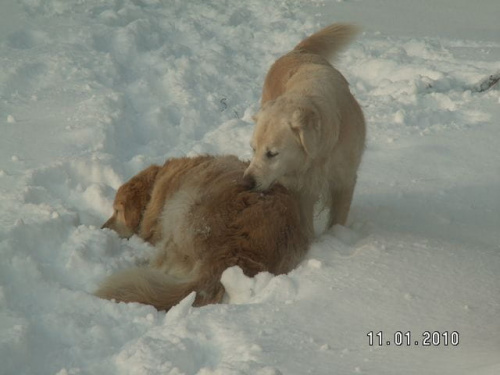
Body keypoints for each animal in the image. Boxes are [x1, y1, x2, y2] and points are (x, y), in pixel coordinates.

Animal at [243, 22, 366, 235]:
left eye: (272, 153)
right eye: (253, 149)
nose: (247, 182)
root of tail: (297, 51)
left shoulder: (344, 179)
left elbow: (338, 217)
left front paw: (336, 236)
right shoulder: (300, 187)